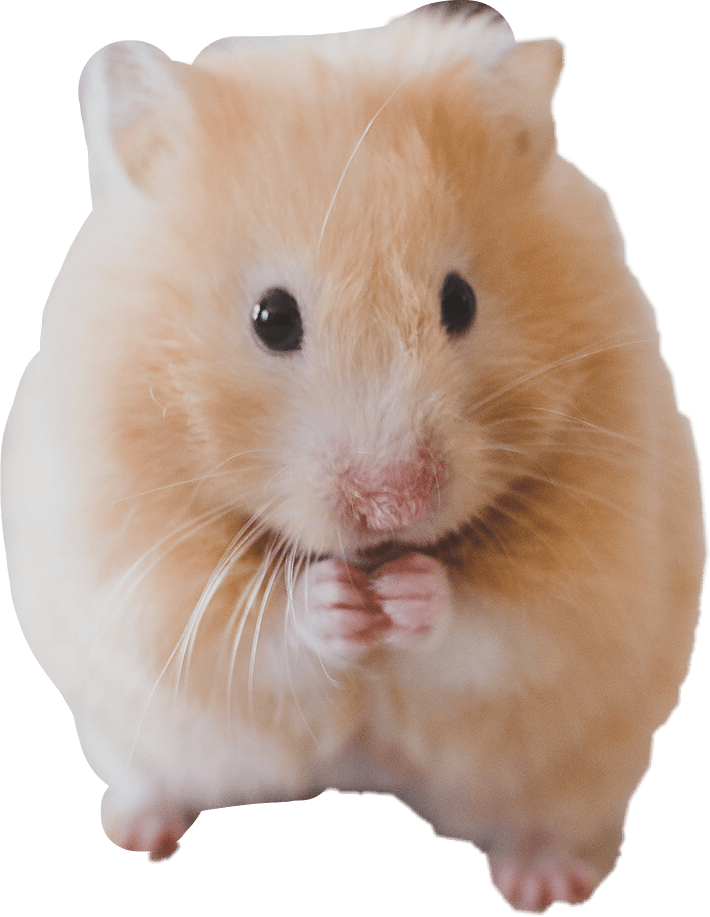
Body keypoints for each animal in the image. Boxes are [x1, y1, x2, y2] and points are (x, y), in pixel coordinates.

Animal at [1, 2, 706, 912]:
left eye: (460, 301)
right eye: (271, 318)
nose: (395, 503)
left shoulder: (597, 556)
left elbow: (507, 624)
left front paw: (408, 595)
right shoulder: (132, 563)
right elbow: (247, 628)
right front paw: (336, 602)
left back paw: (545, 883)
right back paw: (139, 829)